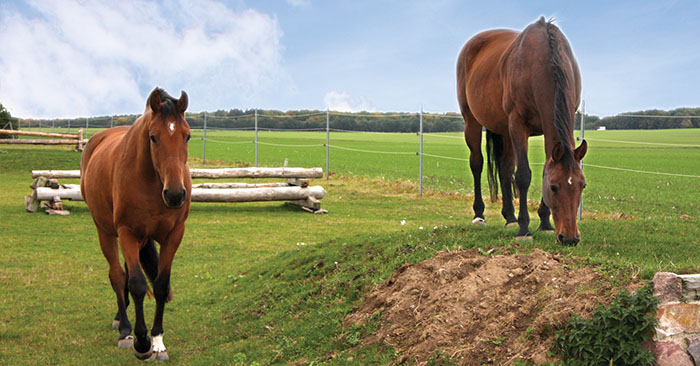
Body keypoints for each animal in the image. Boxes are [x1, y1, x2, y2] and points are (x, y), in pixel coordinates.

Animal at [80, 87, 191, 358]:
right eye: (153, 137)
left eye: (187, 136)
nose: (175, 195)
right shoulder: (127, 233)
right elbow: (137, 284)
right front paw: (142, 341)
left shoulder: (174, 235)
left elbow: (160, 285)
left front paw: (158, 341)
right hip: (106, 232)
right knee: (118, 276)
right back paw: (125, 328)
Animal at [456, 17, 588, 246]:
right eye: (554, 187)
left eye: (582, 186)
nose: (570, 238)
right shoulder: (518, 124)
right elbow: (523, 175)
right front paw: (524, 229)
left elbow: (538, 168)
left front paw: (545, 223)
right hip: (472, 122)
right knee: (477, 164)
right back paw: (480, 215)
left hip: (504, 131)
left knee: (504, 168)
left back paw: (510, 217)